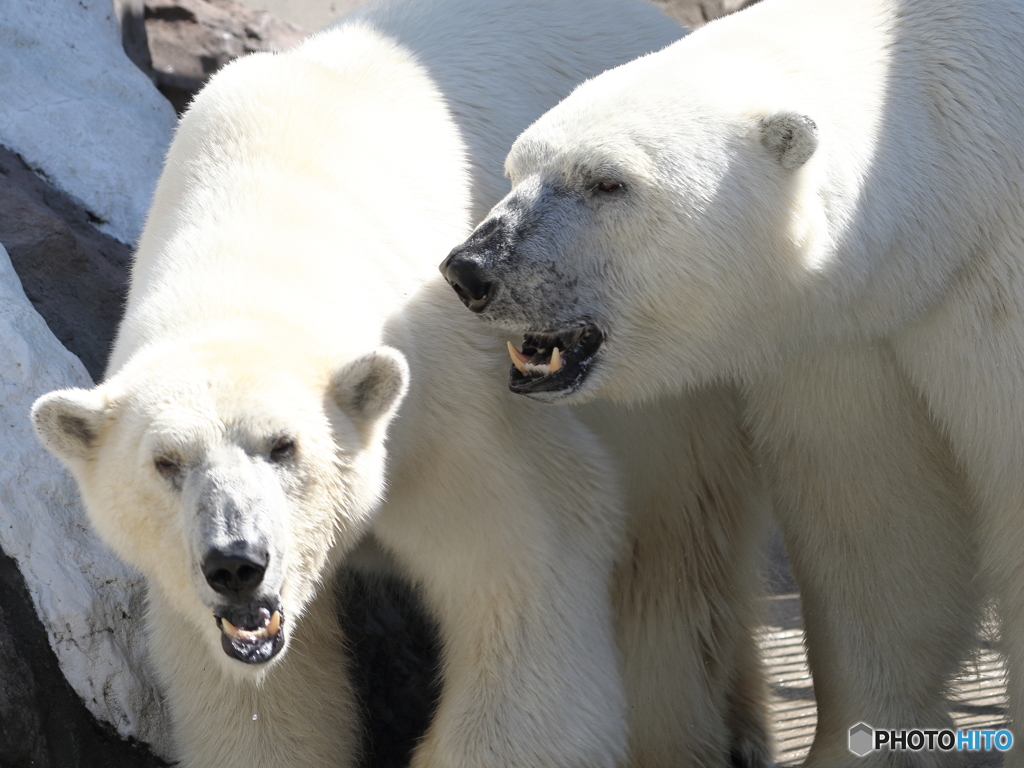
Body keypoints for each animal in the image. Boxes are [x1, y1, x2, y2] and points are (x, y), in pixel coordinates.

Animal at [29, 1, 770, 768]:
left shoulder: (451, 405)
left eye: (283, 446)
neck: (262, 222)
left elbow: (532, 568)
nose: (236, 563)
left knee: (675, 539)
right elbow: (252, 695)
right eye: (166, 463)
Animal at [440, 0, 1024, 765]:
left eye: (607, 181)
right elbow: (878, 527)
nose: (472, 269)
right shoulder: (850, 338)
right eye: (517, 168)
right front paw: (858, 742)